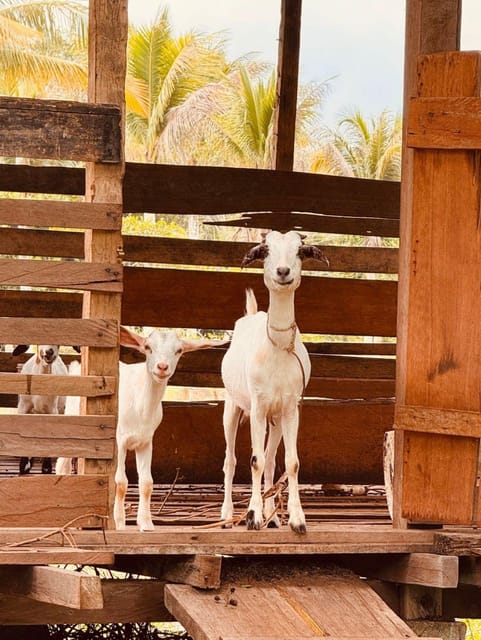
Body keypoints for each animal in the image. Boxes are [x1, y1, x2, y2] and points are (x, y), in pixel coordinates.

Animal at [220, 231, 324, 536]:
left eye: (299, 251)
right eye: (266, 250)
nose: (283, 271)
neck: (276, 348)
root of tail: (253, 313)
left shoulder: (290, 409)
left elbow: (290, 463)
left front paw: (296, 519)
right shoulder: (257, 407)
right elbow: (253, 461)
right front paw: (252, 516)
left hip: (275, 419)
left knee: (269, 460)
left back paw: (273, 516)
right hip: (231, 405)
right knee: (230, 460)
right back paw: (228, 515)